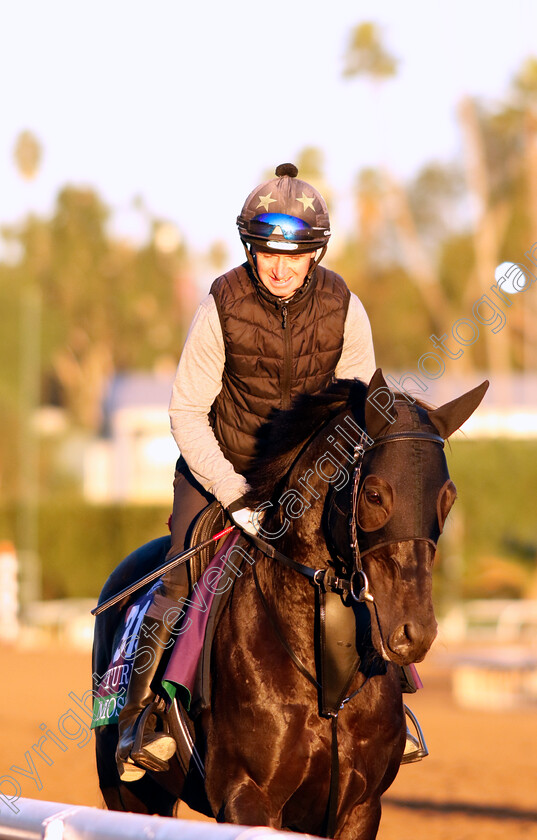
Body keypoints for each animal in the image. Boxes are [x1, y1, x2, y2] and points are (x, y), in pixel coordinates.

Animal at [94, 370, 488, 836]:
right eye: (374, 495)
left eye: (448, 497)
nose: (414, 633)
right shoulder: (248, 797)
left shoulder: (360, 807)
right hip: (131, 795)